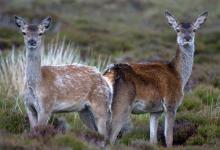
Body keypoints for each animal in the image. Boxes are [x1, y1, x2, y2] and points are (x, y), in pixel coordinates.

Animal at [103, 11, 208, 146]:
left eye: (194, 30)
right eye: (178, 30)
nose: (187, 38)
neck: (179, 76)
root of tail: (109, 73)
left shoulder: (155, 110)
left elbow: (153, 139)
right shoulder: (171, 103)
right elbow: (169, 138)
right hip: (122, 104)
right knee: (110, 138)